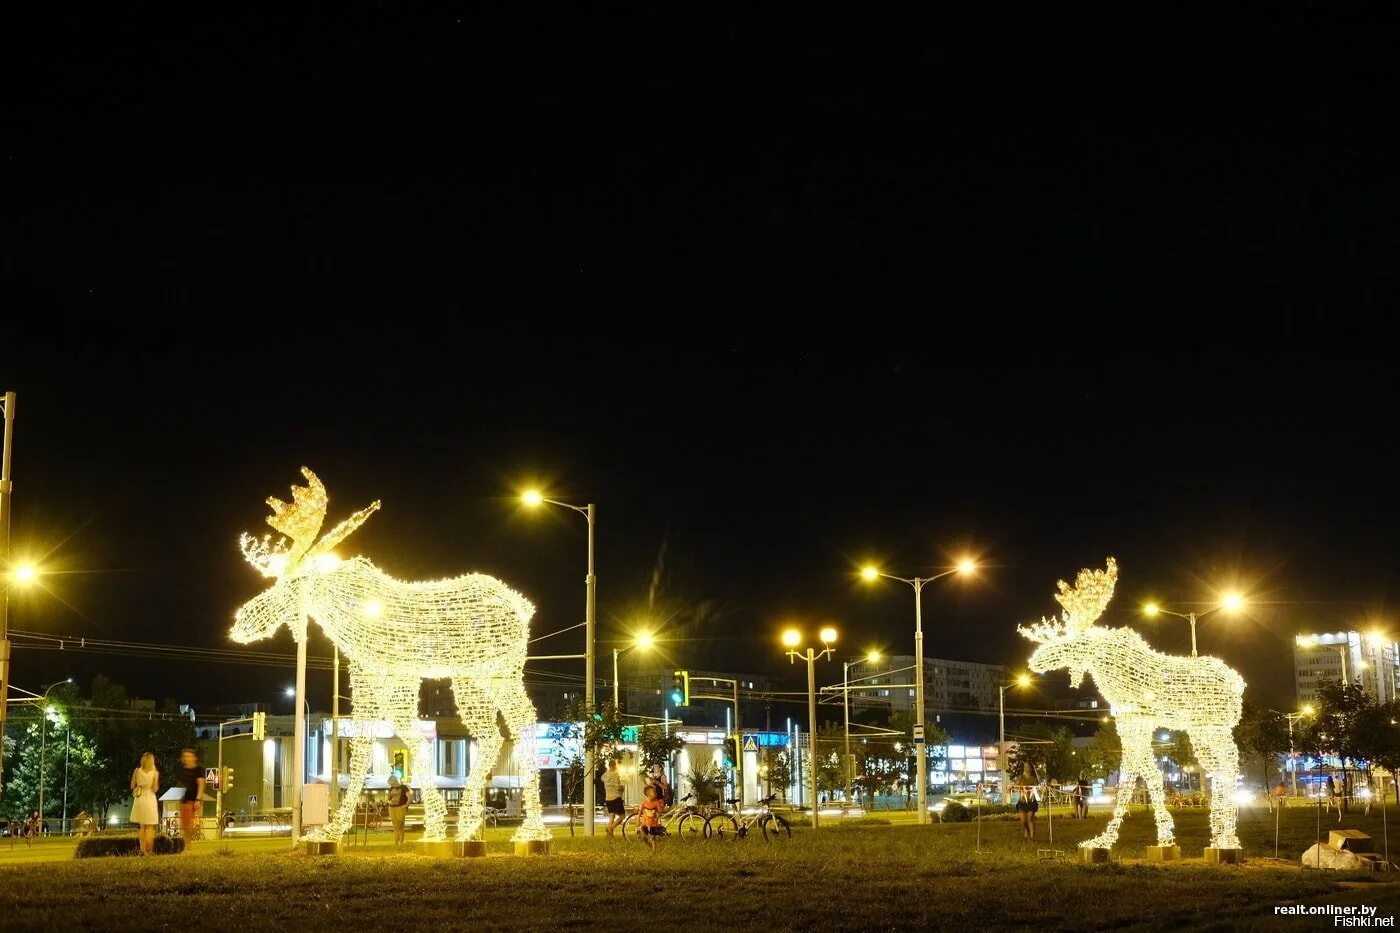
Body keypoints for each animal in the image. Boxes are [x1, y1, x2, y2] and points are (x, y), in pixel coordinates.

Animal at [232, 465, 548, 840]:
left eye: (293, 583)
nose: (241, 622)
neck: (347, 617)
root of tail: (523, 606)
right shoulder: (365, 674)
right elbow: (368, 748)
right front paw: (334, 830)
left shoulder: (396, 675)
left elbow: (404, 741)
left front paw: (433, 825)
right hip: (487, 675)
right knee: (507, 726)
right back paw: (496, 826)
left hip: (486, 671)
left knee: (507, 726)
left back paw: (504, 826)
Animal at [1024, 554, 1243, 851]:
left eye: (1068, 640)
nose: (1035, 660)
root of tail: (1238, 682)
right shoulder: (1132, 722)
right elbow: (1150, 775)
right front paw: (1163, 836)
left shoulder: (1135, 720)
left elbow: (1131, 777)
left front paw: (1106, 840)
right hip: (1202, 731)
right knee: (1221, 769)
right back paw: (1222, 837)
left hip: (1214, 727)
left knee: (1229, 766)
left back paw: (1226, 837)